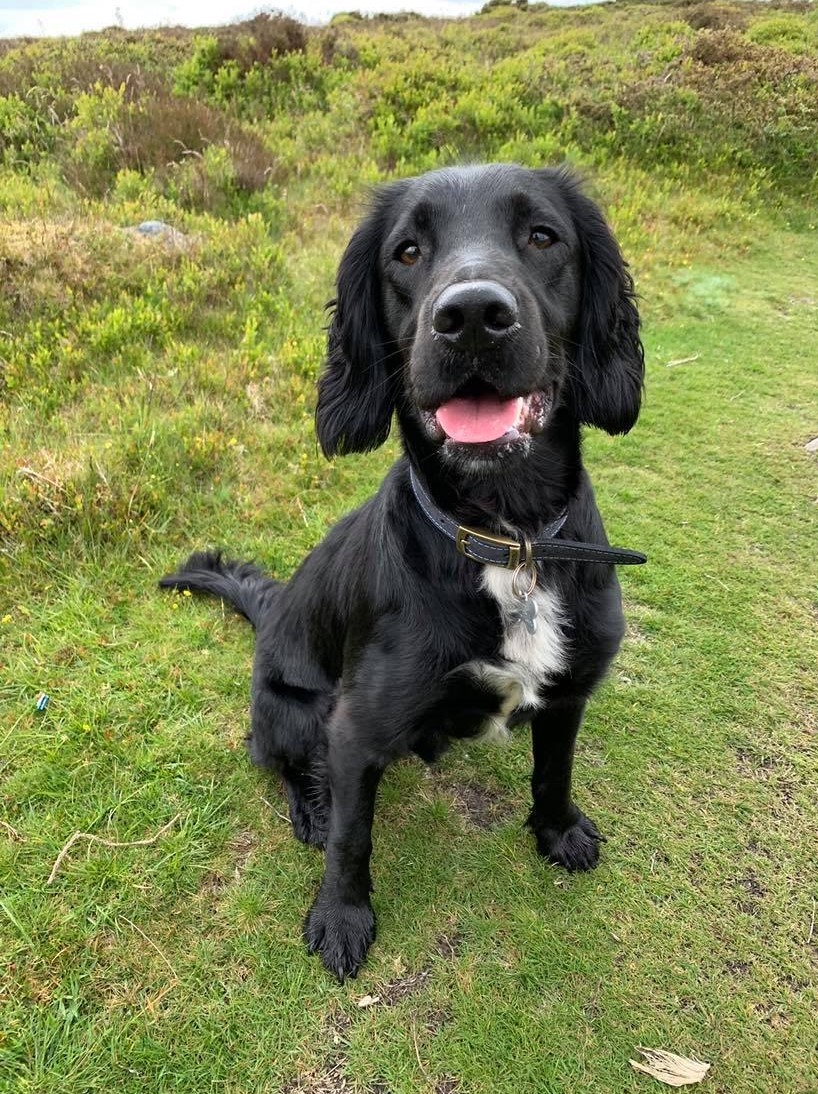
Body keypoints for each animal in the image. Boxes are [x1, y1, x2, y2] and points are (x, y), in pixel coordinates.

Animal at [161, 164, 647, 984]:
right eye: (408, 252)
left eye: (542, 236)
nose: (473, 316)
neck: (504, 538)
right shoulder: (354, 727)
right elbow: (352, 837)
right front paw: (341, 916)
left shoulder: (568, 690)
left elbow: (555, 769)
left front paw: (556, 832)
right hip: (294, 710)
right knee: (282, 762)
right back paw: (311, 807)